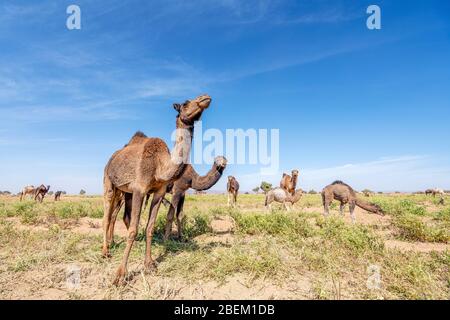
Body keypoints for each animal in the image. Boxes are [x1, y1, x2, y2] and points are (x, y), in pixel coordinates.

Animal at [103, 93, 212, 284]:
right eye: (185, 103)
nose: (204, 97)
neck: (160, 166)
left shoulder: (158, 192)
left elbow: (150, 227)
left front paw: (150, 264)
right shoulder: (140, 189)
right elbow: (133, 229)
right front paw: (121, 275)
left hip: (125, 192)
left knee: (120, 216)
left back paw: (113, 244)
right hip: (109, 182)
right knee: (107, 216)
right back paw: (105, 251)